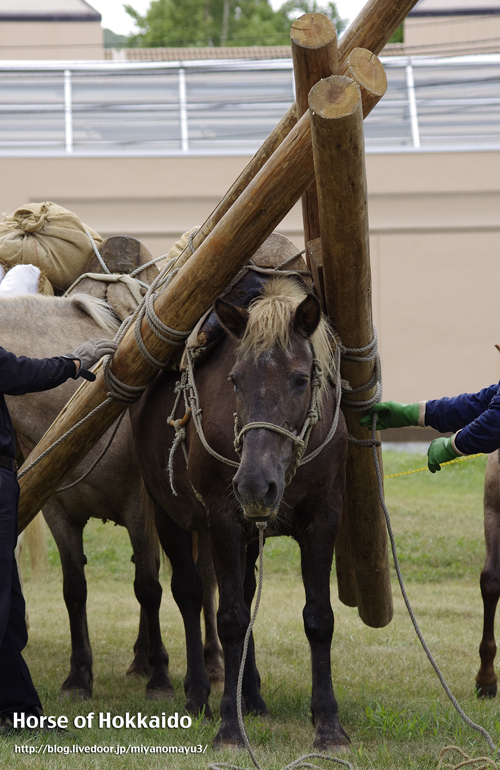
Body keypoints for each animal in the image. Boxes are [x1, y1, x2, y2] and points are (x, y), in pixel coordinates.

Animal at [131, 272, 350, 748]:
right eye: (234, 379)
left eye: (301, 379)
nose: (254, 485)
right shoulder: (224, 521)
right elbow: (229, 618)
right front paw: (230, 726)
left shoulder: (323, 519)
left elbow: (318, 618)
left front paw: (328, 723)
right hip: (170, 517)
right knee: (190, 594)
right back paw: (199, 695)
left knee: (247, 594)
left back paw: (252, 697)